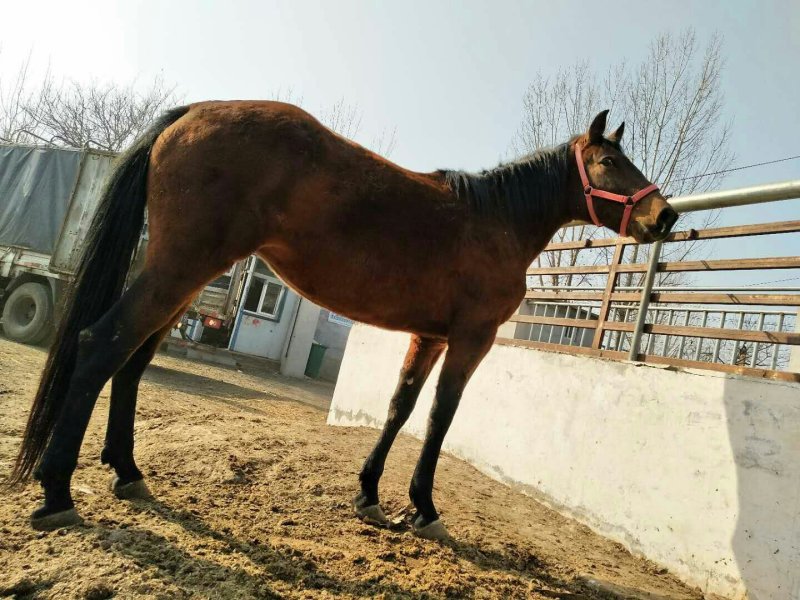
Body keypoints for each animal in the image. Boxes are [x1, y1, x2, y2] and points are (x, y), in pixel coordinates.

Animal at [10, 101, 677, 539]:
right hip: (181, 266)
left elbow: (399, 408)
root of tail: (195, 110)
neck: (496, 221)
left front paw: (369, 493)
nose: (665, 217)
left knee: (135, 360)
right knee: (104, 343)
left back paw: (128, 473)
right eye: (610, 161)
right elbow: (439, 418)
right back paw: (57, 491)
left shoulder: (428, 336)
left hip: (186, 274)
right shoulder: (470, 340)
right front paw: (423, 508)